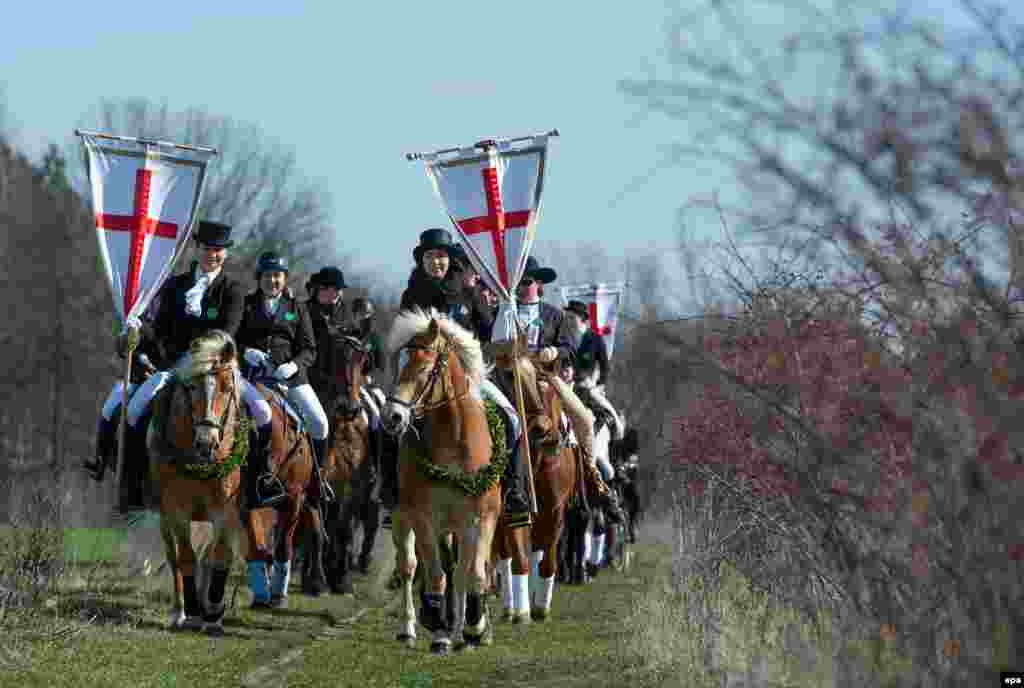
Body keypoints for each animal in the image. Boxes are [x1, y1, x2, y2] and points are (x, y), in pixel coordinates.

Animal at [144, 329, 245, 638]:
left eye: (227, 387)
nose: (206, 444)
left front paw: (213, 613)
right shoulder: (177, 511)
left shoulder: (224, 510)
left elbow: (219, 555)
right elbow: (186, 557)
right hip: (165, 517)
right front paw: (192, 614)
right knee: (175, 556)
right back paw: (181, 610)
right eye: (190, 388)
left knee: (207, 555)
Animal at [240, 378, 313, 610]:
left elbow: (282, 546)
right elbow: (256, 545)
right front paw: (261, 593)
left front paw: (278, 595)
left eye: (261, 434)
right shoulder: (245, 503)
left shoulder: (294, 500)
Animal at [382, 311, 501, 655]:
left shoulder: (480, 519)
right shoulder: (424, 518)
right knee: (409, 566)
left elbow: (474, 574)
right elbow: (436, 575)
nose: (392, 417)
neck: (456, 443)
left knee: (459, 571)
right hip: (403, 519)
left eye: (424, 369)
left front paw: (475, 627)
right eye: (400, 364)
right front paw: (438, 631)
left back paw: (461, 630)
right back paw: (411, 629)